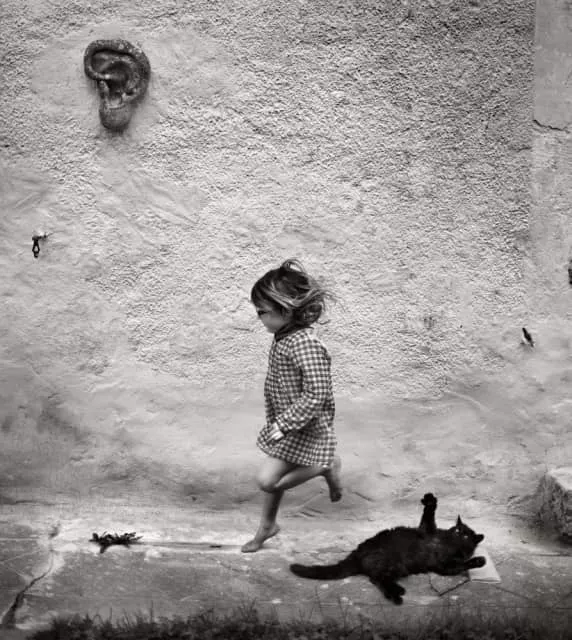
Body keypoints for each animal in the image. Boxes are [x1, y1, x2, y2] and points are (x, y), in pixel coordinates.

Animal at [290, 493, 486, 604]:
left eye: (466, 536)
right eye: (458, 530)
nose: (458, 534)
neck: (447, 544)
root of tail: (357, 552)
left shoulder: (445, 566)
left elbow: (463, 564)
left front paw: (479, 560)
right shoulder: (427, 531)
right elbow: (429, 514)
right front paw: (430, 500)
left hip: (393, 565)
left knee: (377, 578)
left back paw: (396, 592)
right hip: (391, 562)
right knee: (377, 578)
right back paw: (397, 594)